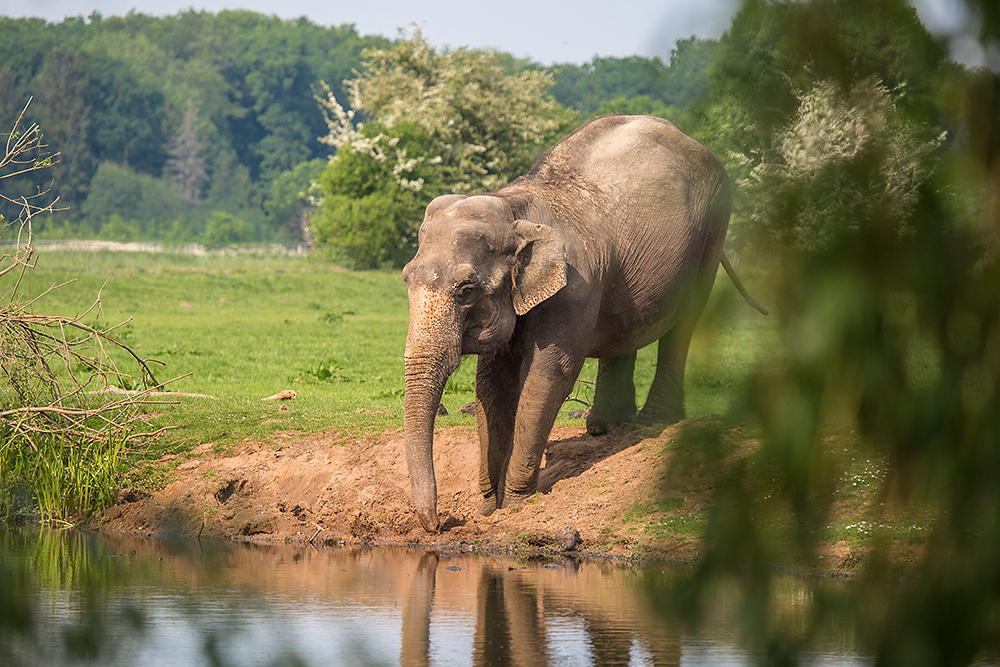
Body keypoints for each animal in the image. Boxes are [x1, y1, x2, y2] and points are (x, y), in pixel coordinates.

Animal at [400, 115, 764, 532]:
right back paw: (604, 427)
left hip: (713, 231)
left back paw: (654, 422)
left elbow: (549, 372)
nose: (437, 523)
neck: (513, 207)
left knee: (685, 321)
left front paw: (517, 503)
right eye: (406, 278)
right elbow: (492, 383)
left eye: (466, 290)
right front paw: (489, 508)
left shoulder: (575, 287)